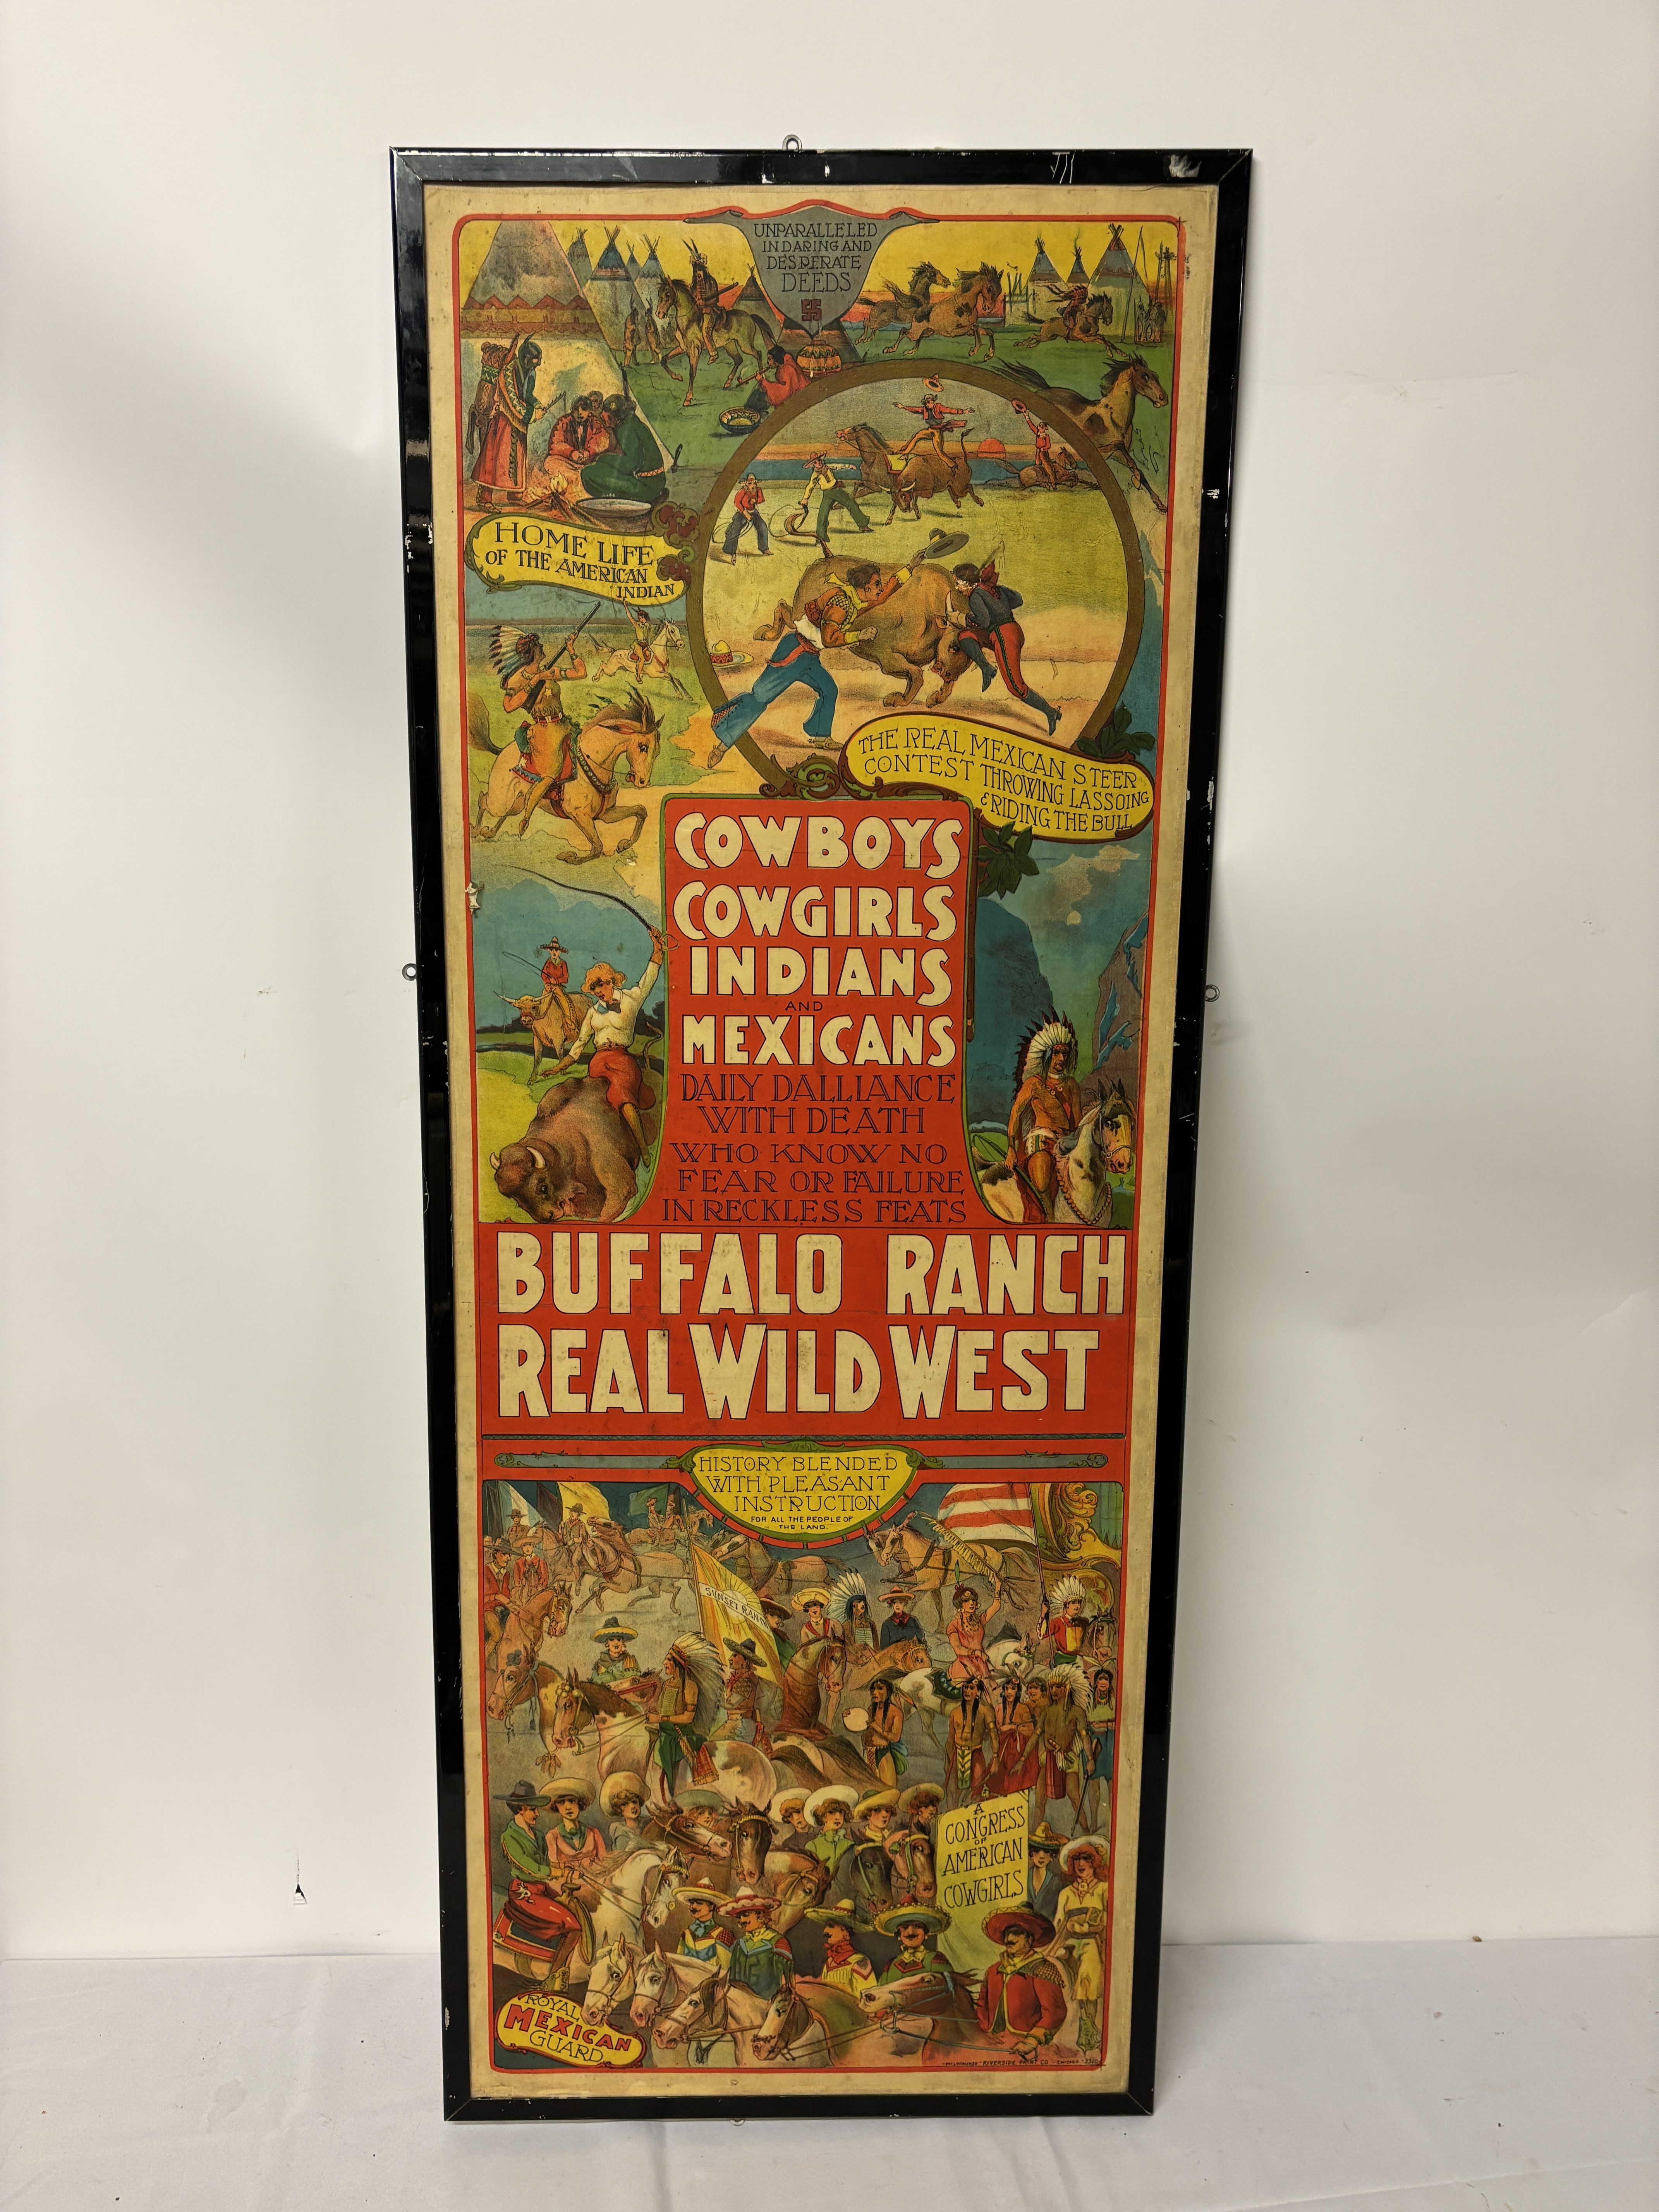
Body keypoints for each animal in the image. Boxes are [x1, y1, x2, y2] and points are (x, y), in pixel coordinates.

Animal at [475, 693, 661, 858]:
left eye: (658, 752)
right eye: (643, 747)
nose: (643, 782)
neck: (591, 764)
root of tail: (503, 751)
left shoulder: (607, 814)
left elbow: (641, 811)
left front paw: (625, 844)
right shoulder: (579, 816)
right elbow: (597, 848)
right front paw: (569, 857)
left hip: (518, 803)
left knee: (505, 812)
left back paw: (491, 833)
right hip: (500, 801)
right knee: (484, 800)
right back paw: (477, 831)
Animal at [836, 421, 982, 523]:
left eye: (854, 429)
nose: (839, 434)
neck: (874, 458)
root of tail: (962, 459)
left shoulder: (876, 487)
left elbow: (858, 486)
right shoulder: (874, 486)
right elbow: (857, 487)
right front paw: (838, 505)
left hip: (959, 486)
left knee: (968, 488)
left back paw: (978, 501)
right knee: (953, 490)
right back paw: (958, 502)